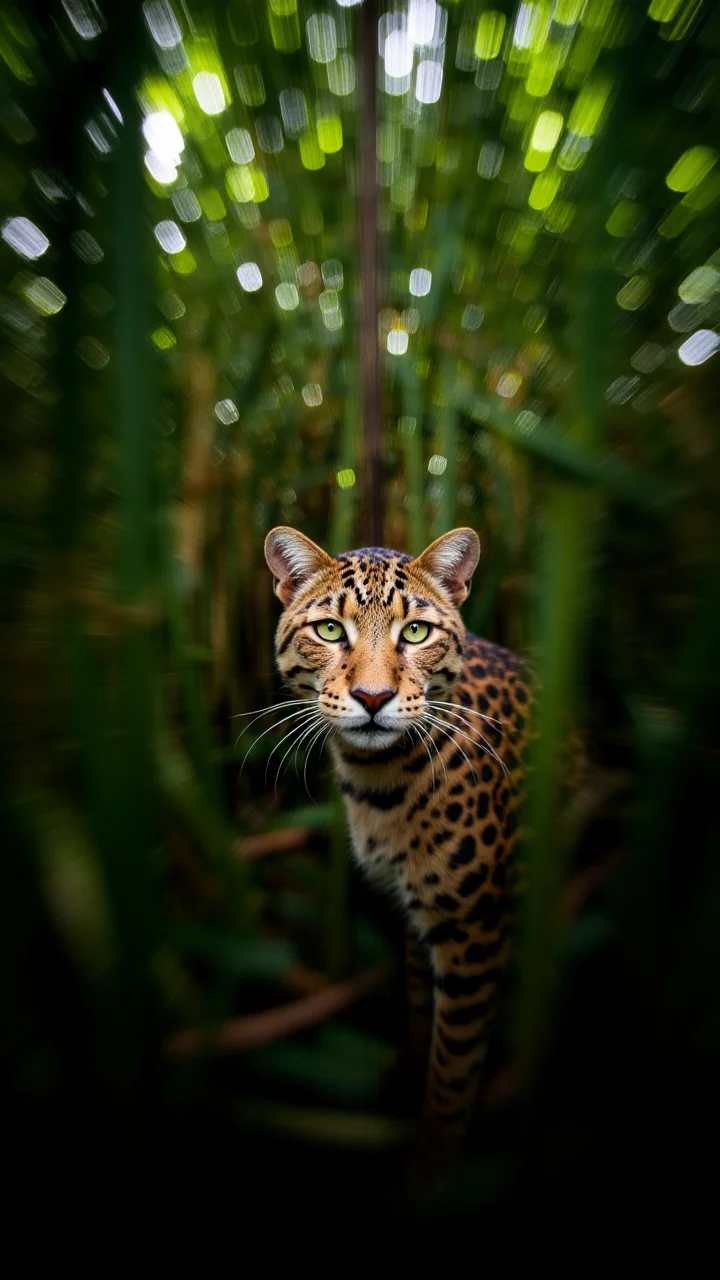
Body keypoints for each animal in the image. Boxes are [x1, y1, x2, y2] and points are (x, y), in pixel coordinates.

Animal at [263, 524, 534, 1186]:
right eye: (328, 630)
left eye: (415, 632)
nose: (373, 696)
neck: (380, 782)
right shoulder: (416, 912)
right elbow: (417, 1006)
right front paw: (404, 1079)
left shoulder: (476, 932)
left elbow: (455, 1061)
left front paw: (429, 1168)